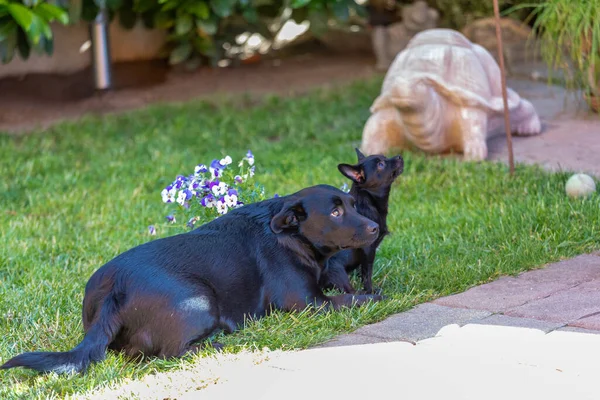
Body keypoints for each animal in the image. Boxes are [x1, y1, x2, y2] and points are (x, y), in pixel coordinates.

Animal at [2, 185, 380, 376]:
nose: (376, 227)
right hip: (200, 301)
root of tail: (116, 285)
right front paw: (374, 295)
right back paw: (216, 344)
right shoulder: (307, 303)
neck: (292, 236)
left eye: (352, 204)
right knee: (166, 353)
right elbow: (354, 298)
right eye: (335, 212)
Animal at [318, 149, 404, 294]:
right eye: (381, 165)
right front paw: (370, 291)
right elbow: (367, 273)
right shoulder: (368, 249)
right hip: (337, 271)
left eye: (384, 157)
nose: (399, 156)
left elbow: (362, 272)